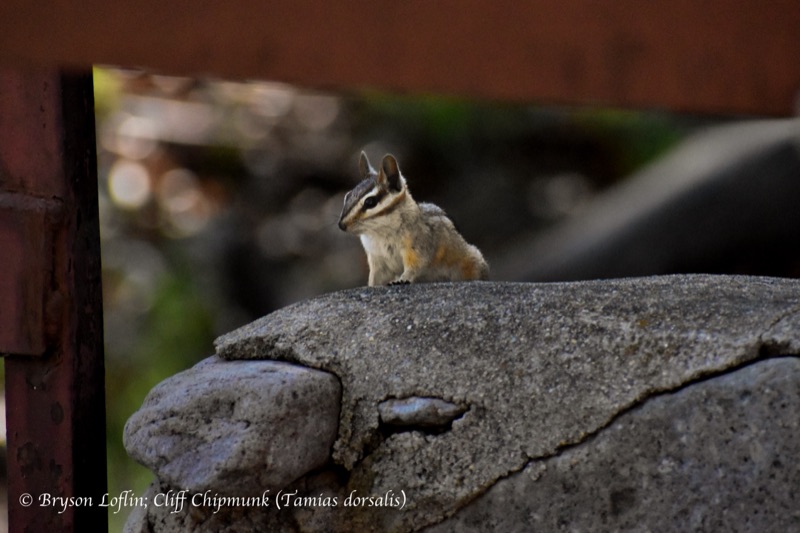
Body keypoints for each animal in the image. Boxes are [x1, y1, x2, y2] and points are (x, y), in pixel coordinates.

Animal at [338, 152, 489, 286]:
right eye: (347, 196)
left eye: (370, 202)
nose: (341, 225)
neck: (379, 232)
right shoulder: (377, 259)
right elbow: (376, 277)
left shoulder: (417, 245)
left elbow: (415, 265)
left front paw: (402, 279)